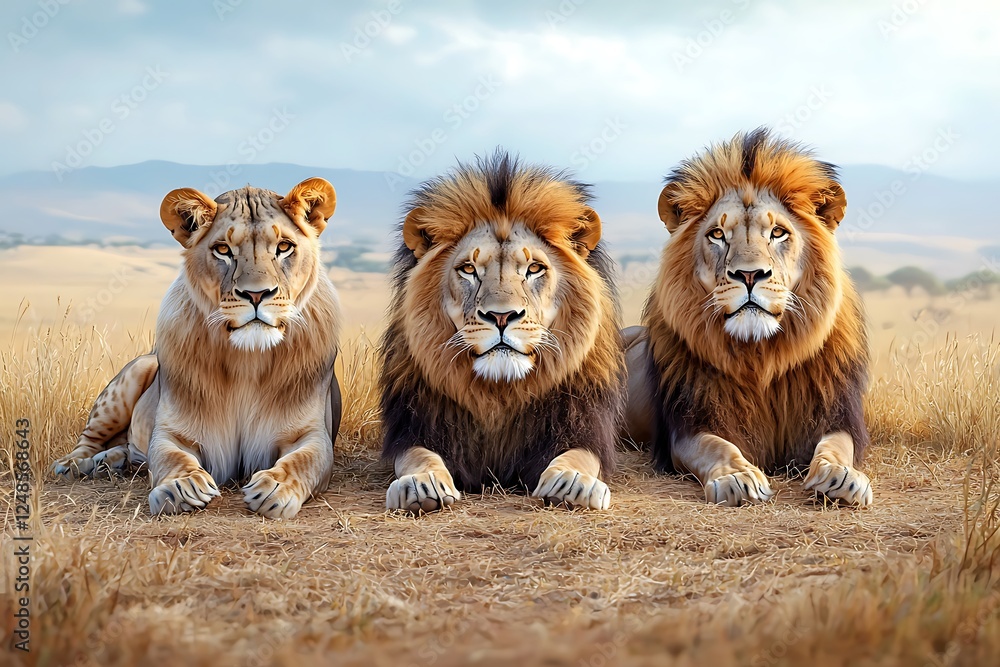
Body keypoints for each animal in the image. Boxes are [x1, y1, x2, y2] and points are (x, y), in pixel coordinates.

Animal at [52, 178, 343, 519]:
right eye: (223, 250)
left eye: (284, 247)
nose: (256, 295)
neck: (248, 361)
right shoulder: (172, 431)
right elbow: (170, 456)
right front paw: (181, 487)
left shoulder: (312, 434)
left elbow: (302, 461)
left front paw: (275, 487)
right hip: (134, 374)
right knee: (91, 438)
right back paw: (77, 464)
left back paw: (111, 461)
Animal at [380, 150, 625, 513]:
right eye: (468, 269)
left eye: (534, 268)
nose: (501, 316)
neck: (499, 391)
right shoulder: (415, 427)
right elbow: (419, 457)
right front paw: (421, 485)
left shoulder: (583, 425)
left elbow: (578, 456)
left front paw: (571, 483)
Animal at [624, 129, 874, 507]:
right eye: (717, 234)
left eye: (778, 232)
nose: (750, 274)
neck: (760, 355)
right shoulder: (688, 425)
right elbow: (716, 447)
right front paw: (737, 477)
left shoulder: (835, 414)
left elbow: (836, 446)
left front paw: (841, 476)